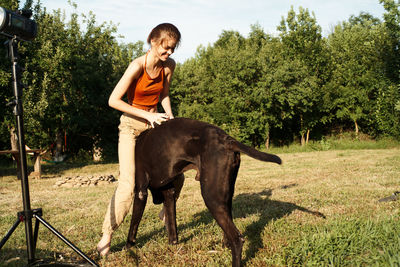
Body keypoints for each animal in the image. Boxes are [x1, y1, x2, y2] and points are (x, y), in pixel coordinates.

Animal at [126, 118, 282, 266]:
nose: (156, 201)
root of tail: (227, 139)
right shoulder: (169, 194)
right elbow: (172, 224)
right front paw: (172, 244)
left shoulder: (140, 192)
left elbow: (133, 224)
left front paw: (128, 247)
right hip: (225, 196)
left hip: (211, 197)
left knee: (237, 239)